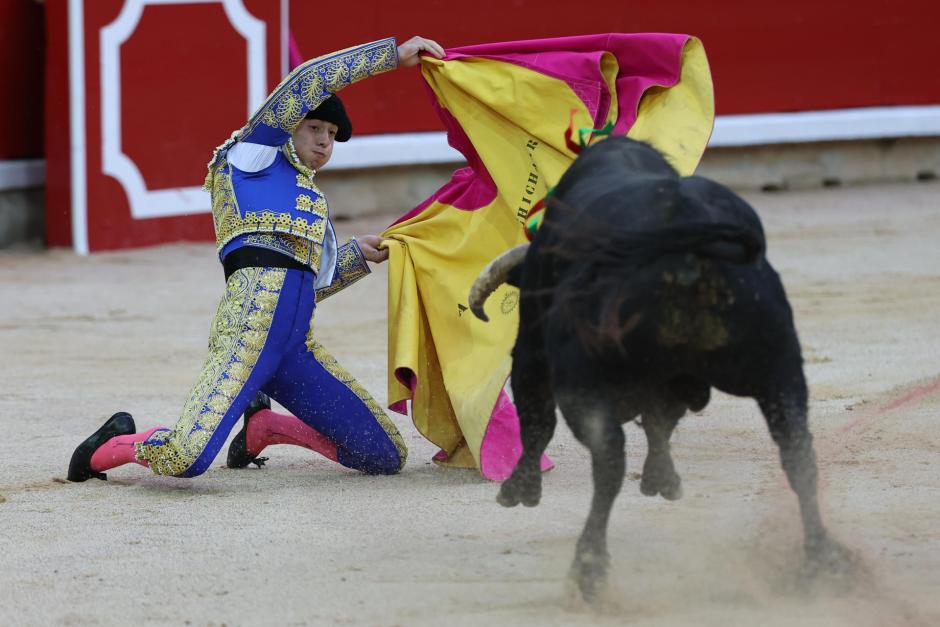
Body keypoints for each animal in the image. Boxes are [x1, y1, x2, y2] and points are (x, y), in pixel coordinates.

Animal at [470, 139, 852, 604]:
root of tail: (687, 252)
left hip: (583, 382)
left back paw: (588, 570)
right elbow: (660, 422)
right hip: (780, 372)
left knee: (609, 462)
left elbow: (539, 422)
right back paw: (822, 561)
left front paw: (519, 491)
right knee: (799, 455)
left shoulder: (531, 350)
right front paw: (662, 479)